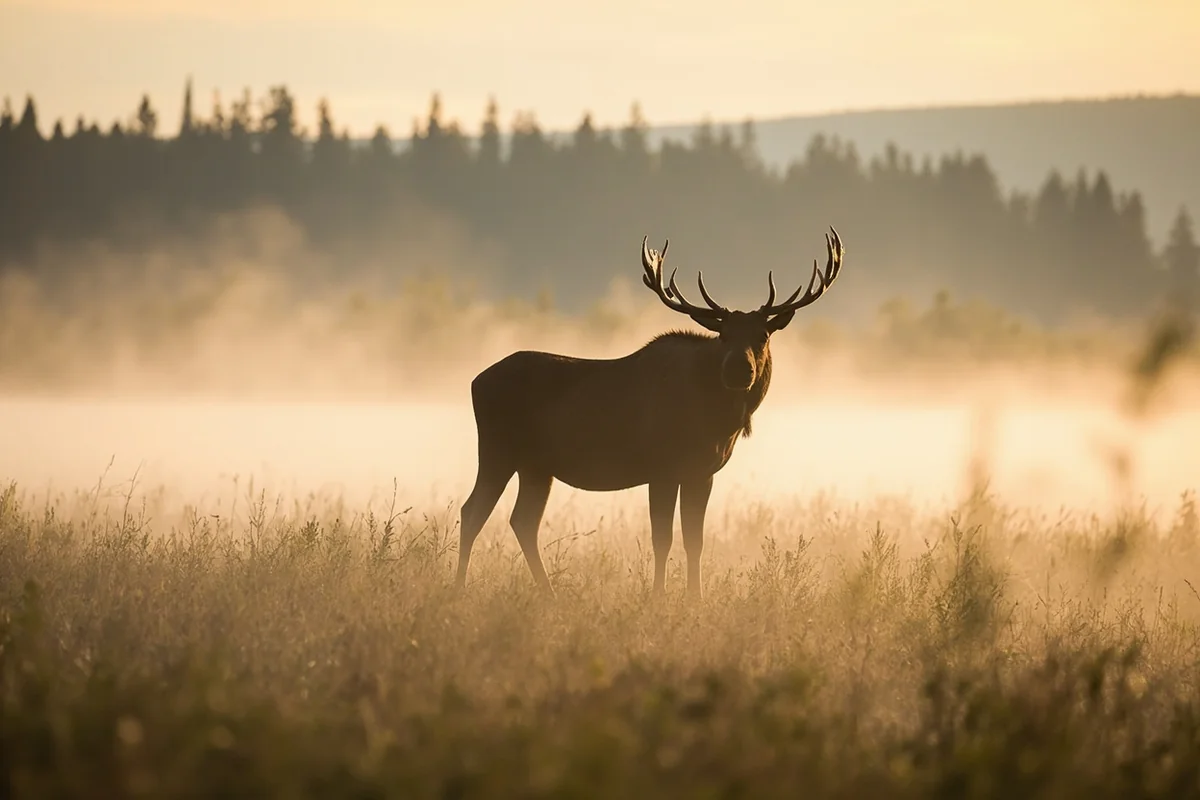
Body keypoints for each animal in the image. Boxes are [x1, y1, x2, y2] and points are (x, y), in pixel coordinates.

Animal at [456, 227, 845, 599]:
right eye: (723, 334)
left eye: (763, 335)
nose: (738, 368)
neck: (717, 421)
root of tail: (476, 381)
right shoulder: (662, 467)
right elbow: (663, 538)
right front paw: (658, 597)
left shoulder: (702, 473)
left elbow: (694, 540)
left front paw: (695, 599)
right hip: (498, 450)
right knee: (472, 511)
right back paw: (459, 588)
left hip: (537, 466)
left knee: (522, 521)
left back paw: (548, 594)